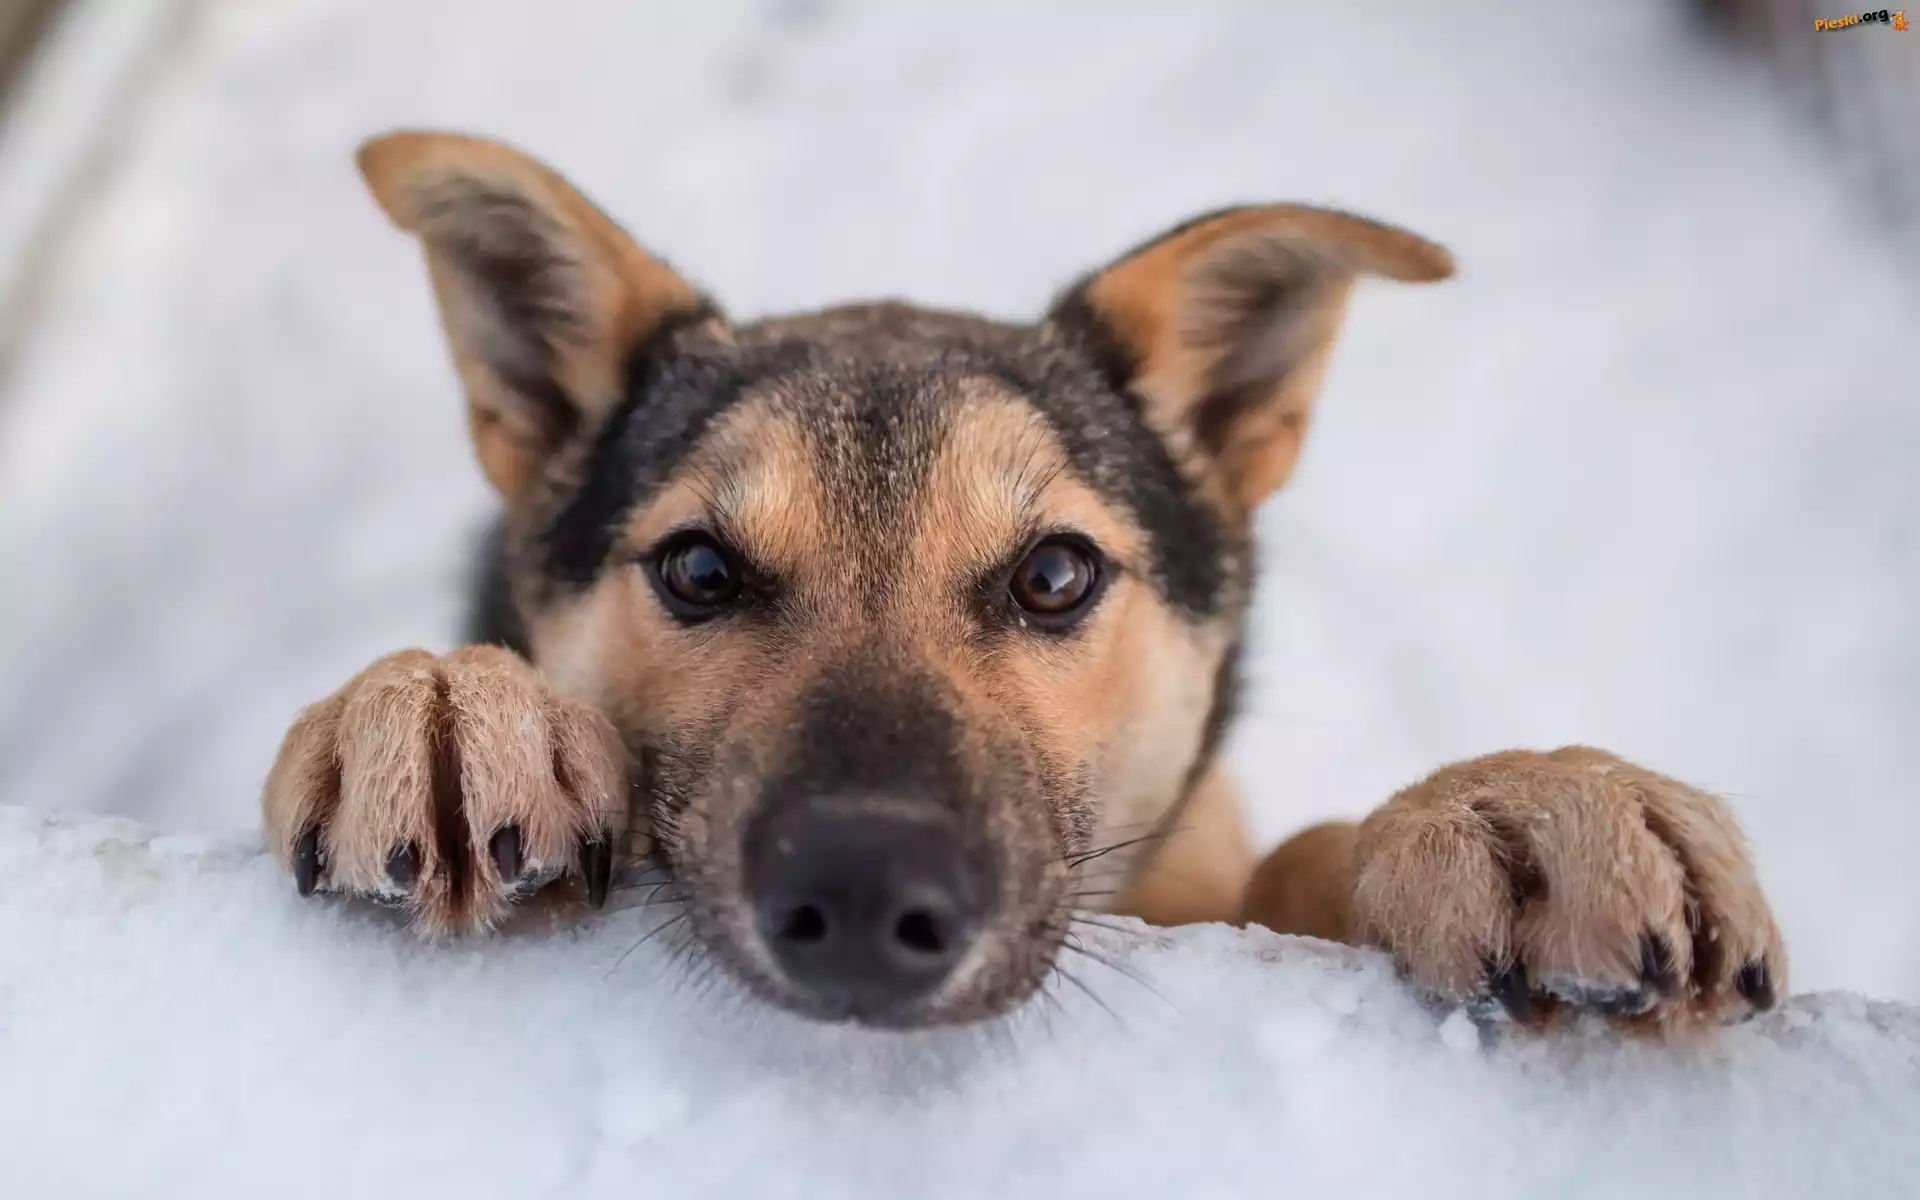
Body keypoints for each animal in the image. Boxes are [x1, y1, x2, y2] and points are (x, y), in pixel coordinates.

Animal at [262, 131, 1785, 1033]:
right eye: (697, 566)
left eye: (1056, 573)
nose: (864, 903)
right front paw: (445, 708)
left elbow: (1299, 860)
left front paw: (1520, 806)